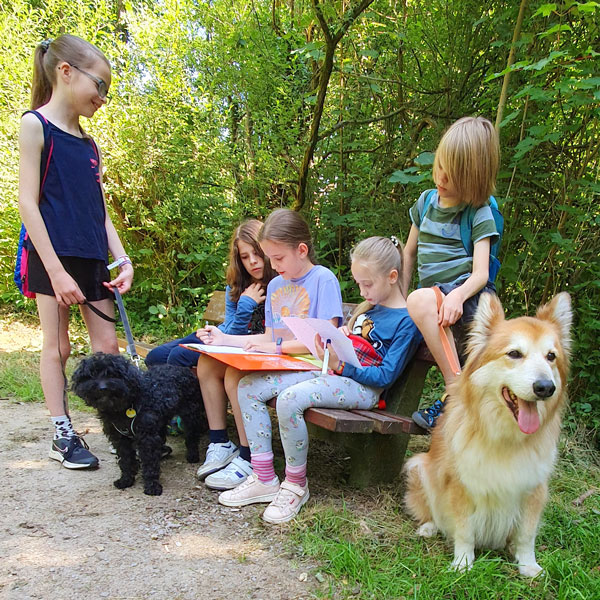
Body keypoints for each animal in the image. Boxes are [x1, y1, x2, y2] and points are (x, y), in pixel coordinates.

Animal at [71, 354, 207, 494]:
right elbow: (125, 461)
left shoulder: (147, 438)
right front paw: (126, 480)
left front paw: (152, 485)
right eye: (92, 375)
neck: (123, 407)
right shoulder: (120, 439)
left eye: (113, 374)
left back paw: (192, 456)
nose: (102, 388)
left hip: (190, 416)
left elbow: (149, 462)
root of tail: (182, 369)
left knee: (192, 437)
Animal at [404, 292, 572, 576]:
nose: (545, 387)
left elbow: (527, 534)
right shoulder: (461, 484)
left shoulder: (534, 487)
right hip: (419, 467)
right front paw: (462, 562)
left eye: (551, 356)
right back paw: (429, 526)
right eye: (514, 353)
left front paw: (528, 564)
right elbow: (464, 530)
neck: (506, 437)